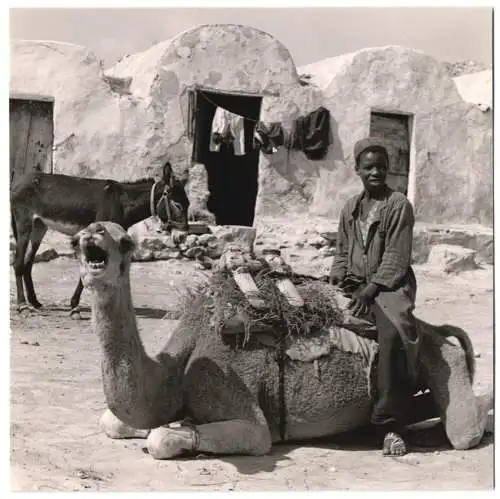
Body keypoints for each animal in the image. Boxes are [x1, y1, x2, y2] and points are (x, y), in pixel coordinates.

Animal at [72, 223, 490, 460]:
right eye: (81, 238)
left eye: (126, 241)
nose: (92, 233)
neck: (176, 372)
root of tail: (433, 329)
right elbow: (113, 422)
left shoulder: (248, 419)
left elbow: (162, 439)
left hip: (443, 361)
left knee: (464, 428)